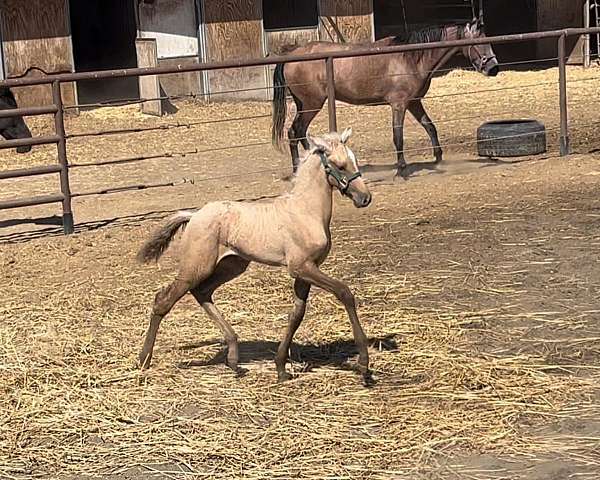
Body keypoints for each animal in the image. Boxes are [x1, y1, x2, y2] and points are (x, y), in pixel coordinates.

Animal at [274, 16, 500, 178]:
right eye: (480, 41)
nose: (493, 68)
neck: (410, 57)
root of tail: (292, 53)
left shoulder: (414, 103)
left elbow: (430, 127)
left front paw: (438, 159)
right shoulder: (399, 104)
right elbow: (397, 135)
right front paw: (401, 169)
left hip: (304, 104)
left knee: (298, 132)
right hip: (311, 104)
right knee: (295, 132)